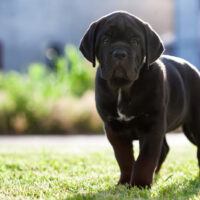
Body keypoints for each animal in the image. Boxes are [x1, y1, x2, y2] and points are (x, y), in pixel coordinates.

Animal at [79, 11, 200, 189]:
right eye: (105, 40)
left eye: (135, 41)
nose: (120, 53)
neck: (123, 87)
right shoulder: (113, 128)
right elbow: (124, 158)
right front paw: (125, 182)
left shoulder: (152, 126)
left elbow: (146, 158)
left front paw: (140, 184)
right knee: (164, 149)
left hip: (194, 126)